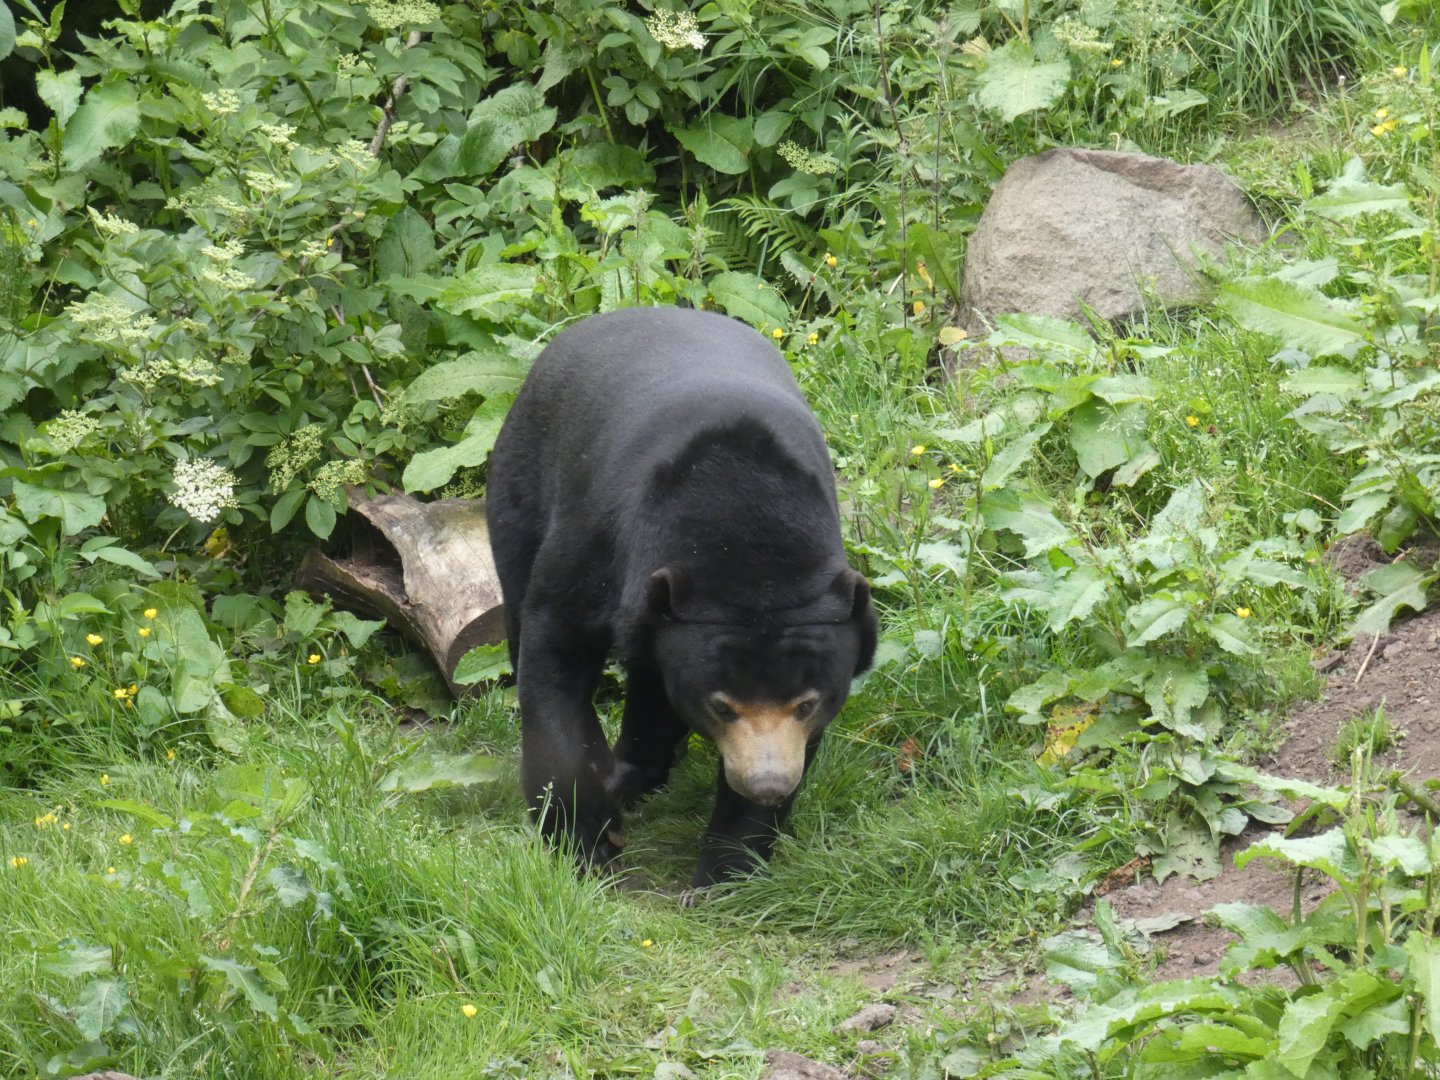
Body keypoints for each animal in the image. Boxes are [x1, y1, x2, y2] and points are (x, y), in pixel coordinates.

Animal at [486, 307, 877, 888]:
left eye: (808, 703)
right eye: (722, 706)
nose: (768, 783)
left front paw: (726, 871)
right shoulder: (596, 540)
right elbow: (554, 655)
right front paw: (588, 842)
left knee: (651, 676)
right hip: (520, 481)